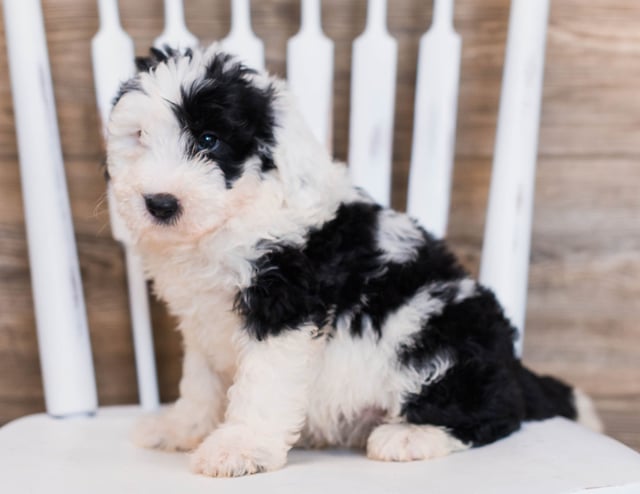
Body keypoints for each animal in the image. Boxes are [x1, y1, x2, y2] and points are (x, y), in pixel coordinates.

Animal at [105, 44, 600, 476]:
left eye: (209, 140)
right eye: (140, 137)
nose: (160, 203)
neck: (235, 215)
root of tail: (512, 366)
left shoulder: (286, 304)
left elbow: (262, 381)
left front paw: (240, 448)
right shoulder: (202, 319)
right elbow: (200, 380)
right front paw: (183, 427)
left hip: (439, 331)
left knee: (498, 411)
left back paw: (411, 435)